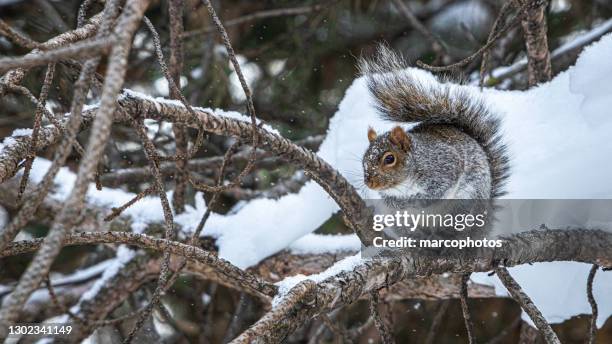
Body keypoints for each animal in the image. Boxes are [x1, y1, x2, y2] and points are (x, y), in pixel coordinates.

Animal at [360, 46, 510, 207]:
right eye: (364, 159)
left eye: (389, 159)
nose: (370, 183)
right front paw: (402, 203)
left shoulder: (443, 165)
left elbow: (438, 190)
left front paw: (415, 200)